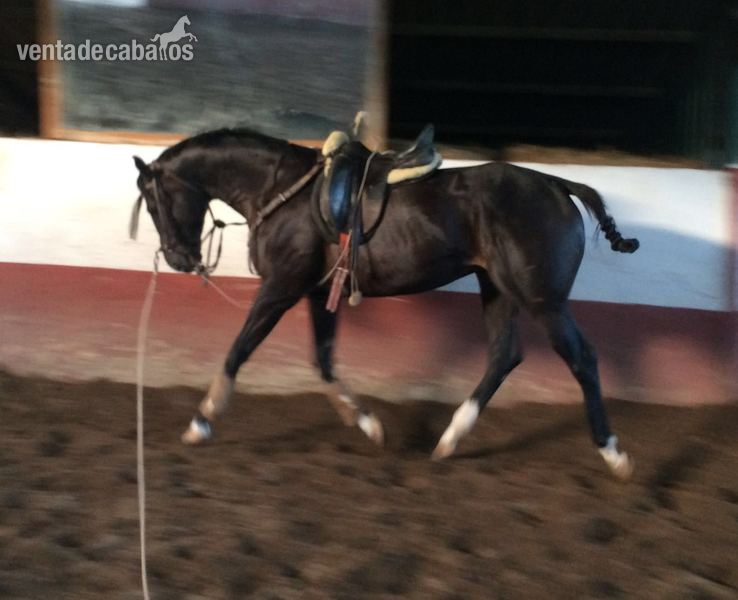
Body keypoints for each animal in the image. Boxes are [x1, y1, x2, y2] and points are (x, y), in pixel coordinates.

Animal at [131, 126, 639, 479]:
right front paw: (368, 423)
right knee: (503, 356)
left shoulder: (282, 286)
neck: (280, 191)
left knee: (581, 358)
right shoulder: (318, 291)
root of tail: (558, 184)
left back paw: (613, 452)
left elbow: (238, 350)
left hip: (542, 297)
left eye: (155, 203)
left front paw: (202, 421)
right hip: (497, 287)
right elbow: (323, 362)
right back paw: (449, 439)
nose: (179, 259)